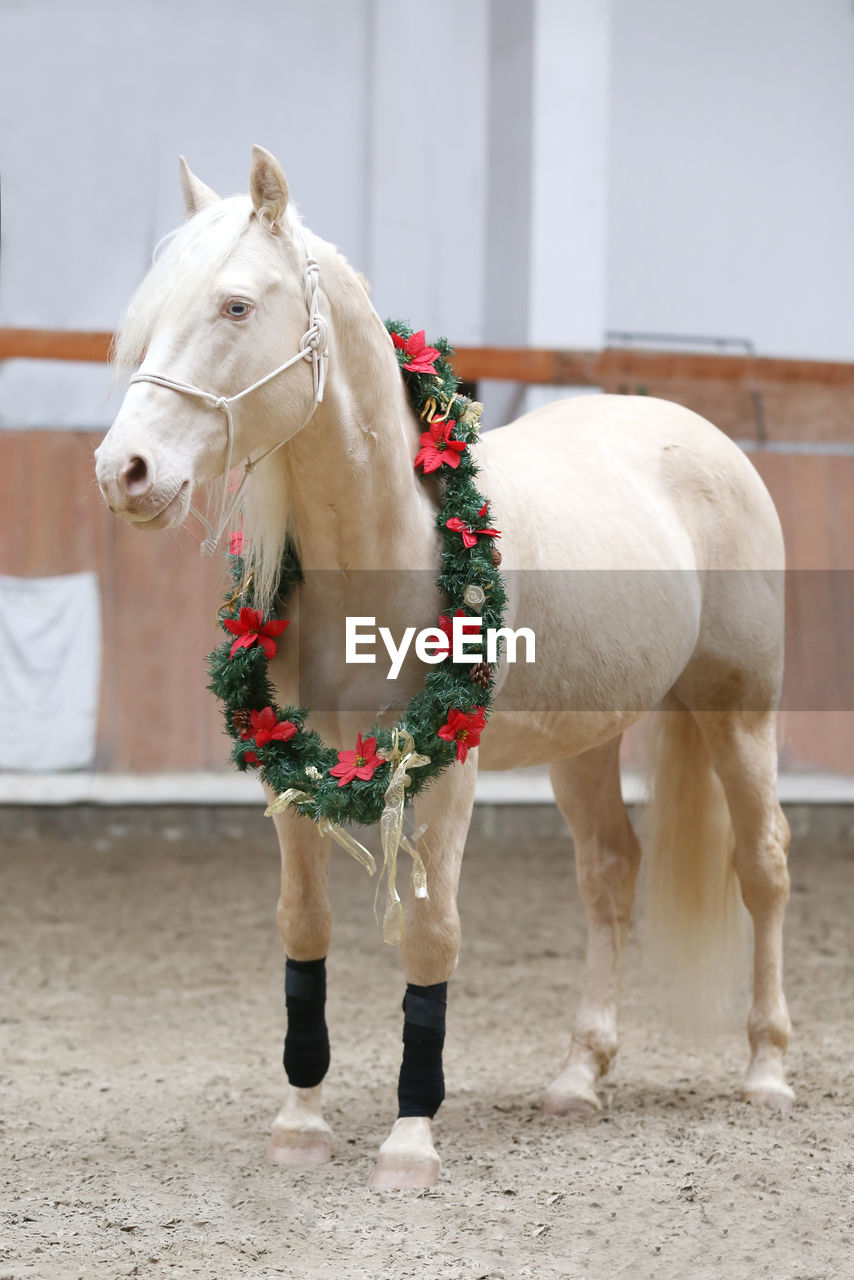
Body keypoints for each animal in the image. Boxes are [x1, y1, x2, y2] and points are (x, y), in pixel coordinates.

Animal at [95, 147, 793, 1187]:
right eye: (149, 315)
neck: (393, 546)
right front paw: (300, 1122)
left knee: (763, 866)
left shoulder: (445, 765)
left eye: (235, 306)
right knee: (610, 872)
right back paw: (579, 1077)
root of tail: (704, 438)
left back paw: (768, 1072)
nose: (124, 471)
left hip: (737, 712)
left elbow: (432, 933)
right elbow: (303, 923)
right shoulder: (286, 763)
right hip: (583, 742)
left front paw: (410, 1138)